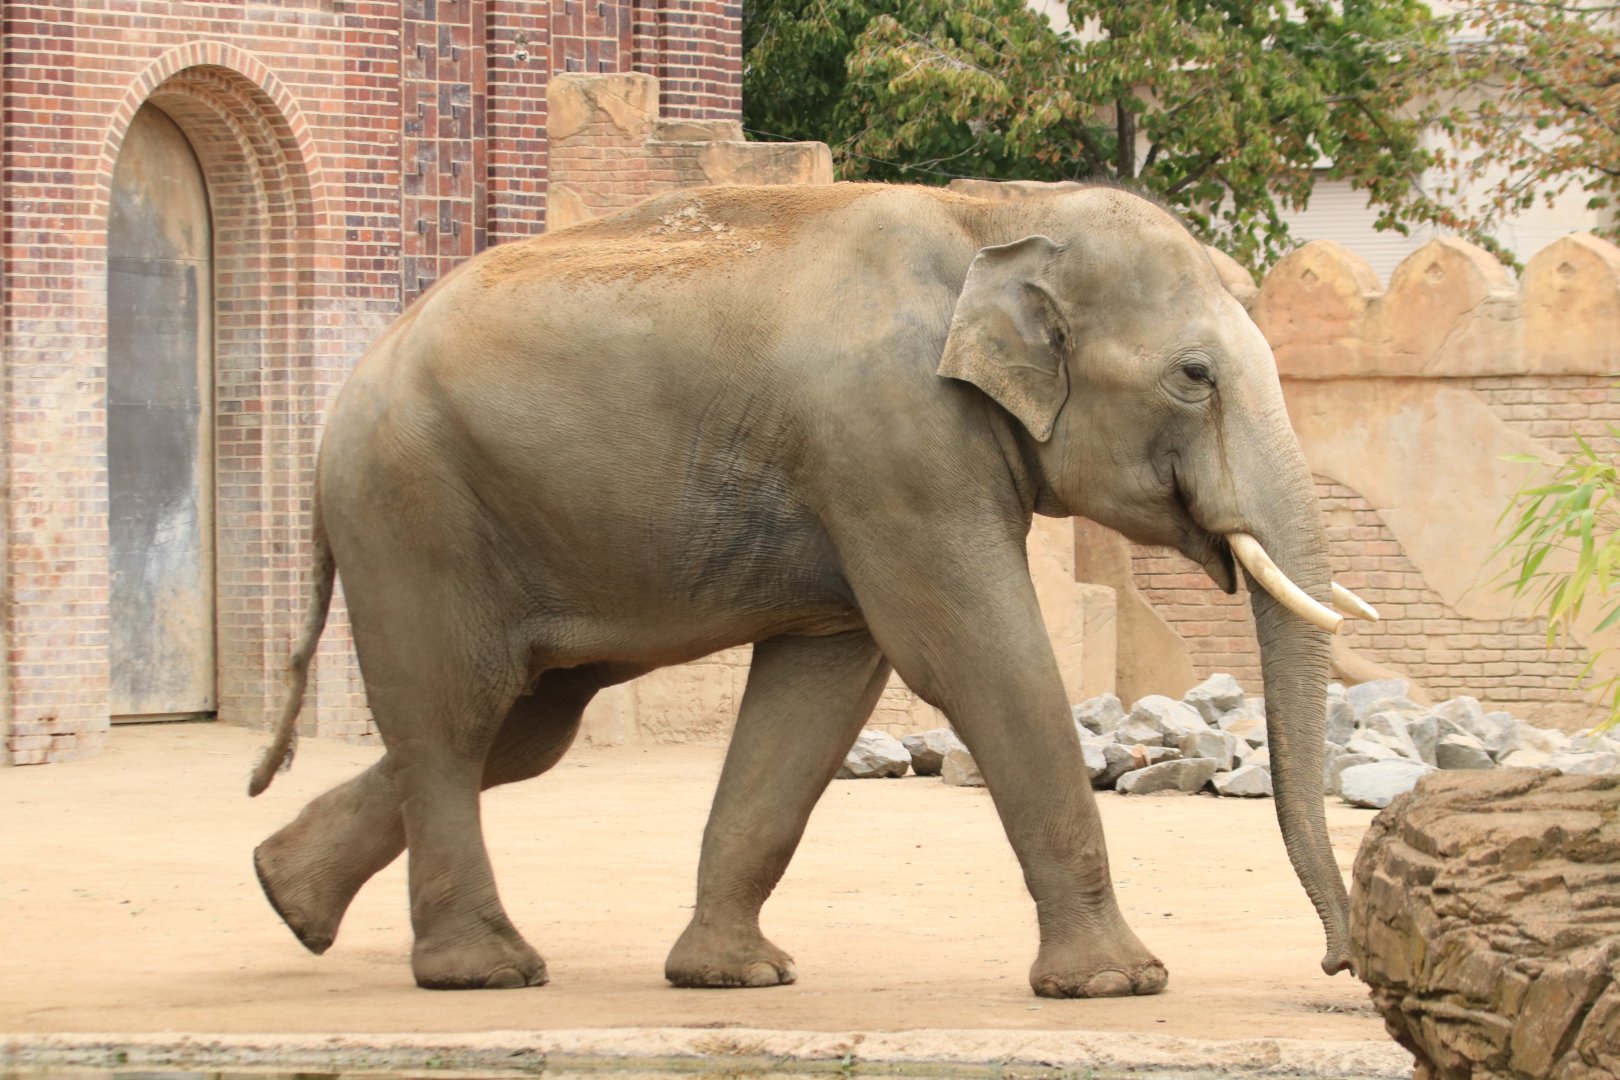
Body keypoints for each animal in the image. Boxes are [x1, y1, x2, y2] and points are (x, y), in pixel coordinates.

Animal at [248, 181, 1373, 997]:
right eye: (1195, 375)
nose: (1339, 962)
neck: (995, 216)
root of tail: (342, 399)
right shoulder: (894, 442)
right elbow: (976, 655)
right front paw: (1120, 984)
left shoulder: (868, 476)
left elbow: (822, 691)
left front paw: (734, 977)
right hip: (413, 512)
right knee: (457, 720)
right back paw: (484, 972)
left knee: (522, 728)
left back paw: (285, 896)